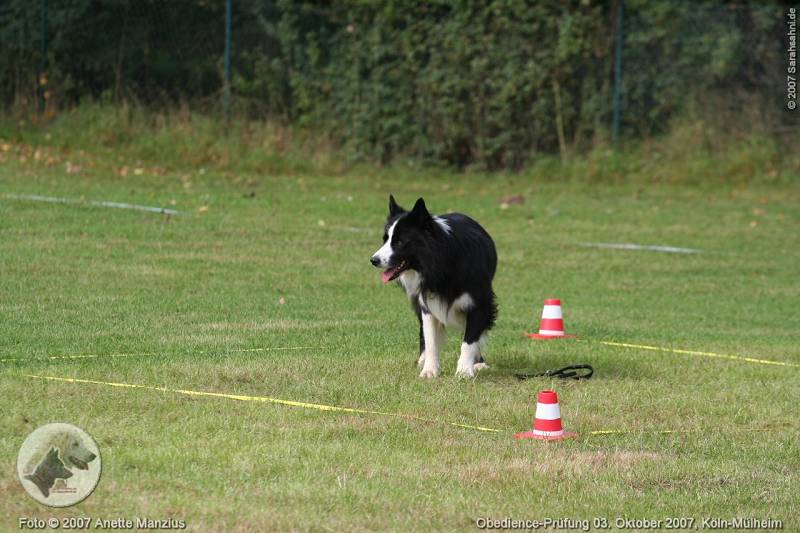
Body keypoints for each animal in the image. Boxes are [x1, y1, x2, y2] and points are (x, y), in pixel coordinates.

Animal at [370, 195, 497, 378]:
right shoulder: (426, 301)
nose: (373, 260)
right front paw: (430, 370)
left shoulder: (480, 302)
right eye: (385, 239)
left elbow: (471, 337)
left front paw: (465, 371)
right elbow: (430, 338)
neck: (442, 263)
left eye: (400, 242)